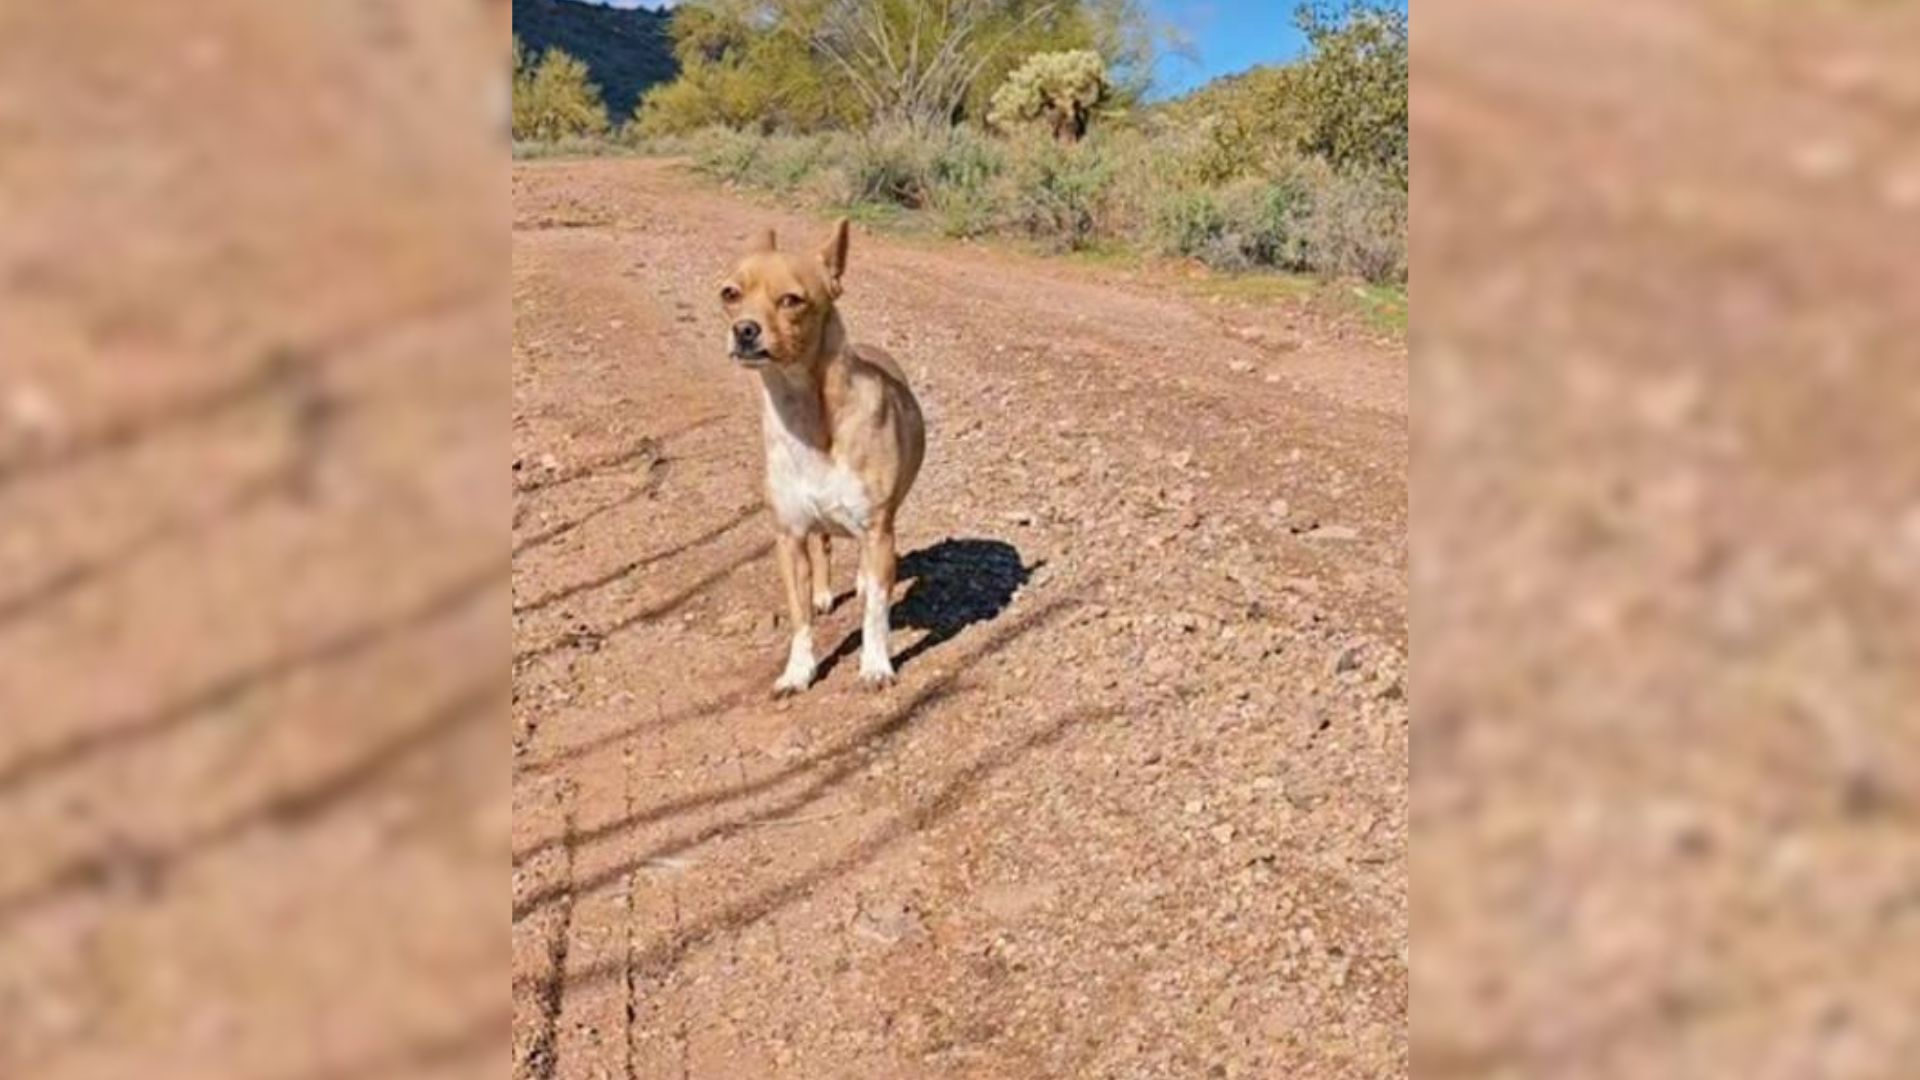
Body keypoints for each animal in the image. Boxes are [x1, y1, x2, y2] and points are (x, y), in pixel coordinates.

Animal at [721, 216, 925, 699]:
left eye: (791, 301)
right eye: (730, 294)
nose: (744, 330)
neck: (806, 415)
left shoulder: (878, 530)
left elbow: (876, 614)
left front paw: (875, 665)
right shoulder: (790, 537)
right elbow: (800, 619)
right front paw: (799, 671)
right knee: (826, 545)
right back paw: (825, 592)